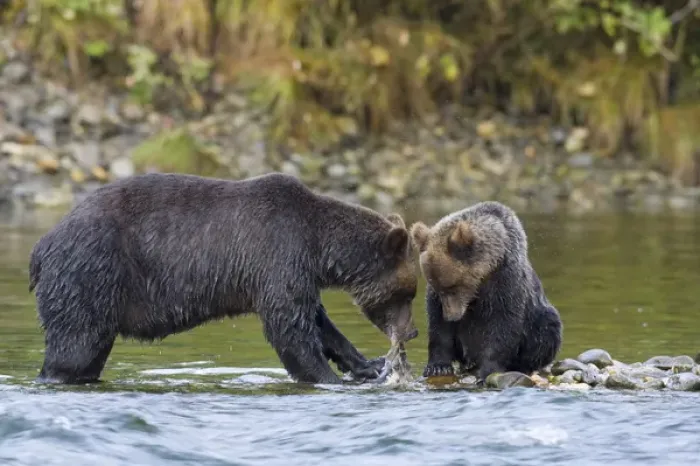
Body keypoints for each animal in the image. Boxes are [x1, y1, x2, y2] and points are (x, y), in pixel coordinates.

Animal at [28, 172, 419, 385]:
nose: (413, 332)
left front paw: (368, 365)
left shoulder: (295, 270)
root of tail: (43, 244)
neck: (317, 244)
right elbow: (289, 328)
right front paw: (329, 378)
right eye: (409, 292)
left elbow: (317, 320)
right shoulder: (277, 253)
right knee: (74, 348)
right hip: (89, 274)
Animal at [409, 201, 562, 383]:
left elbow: (502, 323)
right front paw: (438, 367)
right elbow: (438, 326)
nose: (451, 316)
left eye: (453, 287)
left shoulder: (505, 281)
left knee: (547, 330)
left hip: (538, 319)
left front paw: (487, 371)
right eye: (439, 288)